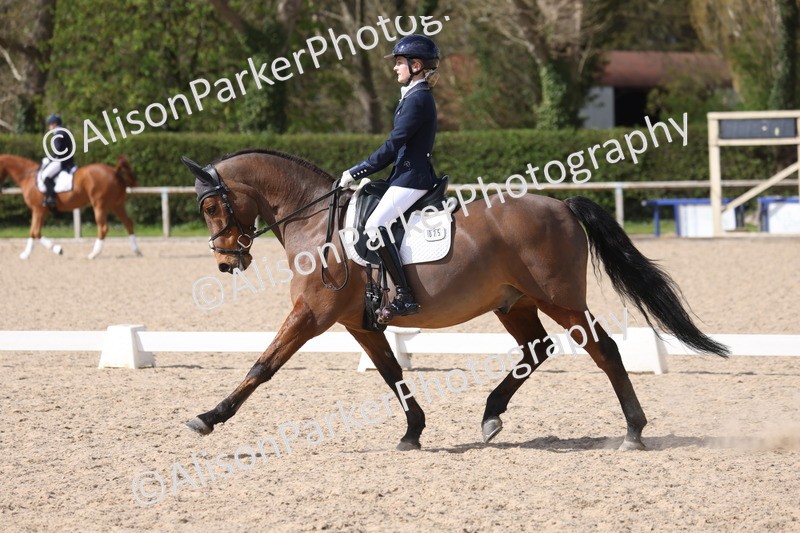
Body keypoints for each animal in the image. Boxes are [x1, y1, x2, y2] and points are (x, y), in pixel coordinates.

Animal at [0, 154, 142, 259]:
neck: (28, 176)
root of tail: (114, 170)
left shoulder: (39, 210)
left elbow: (36, 232)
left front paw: (58, 249)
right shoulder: (38, 210)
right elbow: (33, 232)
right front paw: (25, 254)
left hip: (99, 205)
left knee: (103, 228)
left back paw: (93, 254)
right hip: (117, 205)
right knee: (128, 223)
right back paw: (137, 251)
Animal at [181, 149, 729, 451]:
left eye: (210, 206)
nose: (227, 263)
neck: (315, 221)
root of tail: (562, 206)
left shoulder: (312, 314)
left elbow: (263, 365)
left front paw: (208, 417)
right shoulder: (359, 323)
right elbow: (391, 374)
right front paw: (413, 432)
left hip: (559, 299)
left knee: (603, 350)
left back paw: (633, 431)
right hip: (514, 302)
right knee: (536, 349)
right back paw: (491, 415)